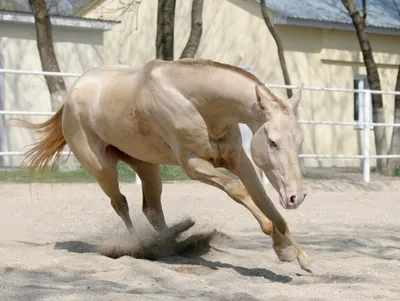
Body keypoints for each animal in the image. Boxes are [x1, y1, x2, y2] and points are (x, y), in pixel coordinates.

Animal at [12, 57, 320, 274]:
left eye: (300, 140)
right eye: (273, 142)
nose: (297, 197)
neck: (196, 102)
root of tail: (70, 98)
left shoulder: (240, 161)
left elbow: (269, 206)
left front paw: (301, 258)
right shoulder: (194, 165)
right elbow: (238, 192)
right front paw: (281, 246)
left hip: (148, 168)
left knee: (152, 211)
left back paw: (171, 242)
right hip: (102, 169)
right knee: (121, 204)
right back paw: (142, 247)